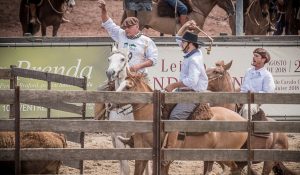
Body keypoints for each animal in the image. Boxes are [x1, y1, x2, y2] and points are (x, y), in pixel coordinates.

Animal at [94, 45, 150, 175]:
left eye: (122, 59)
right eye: (109, 59)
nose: (110, 72)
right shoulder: (118, 136)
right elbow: (125, 166)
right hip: (114, 138)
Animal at [116, 74, 247, 175]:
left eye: (128, 86)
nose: (112, 103)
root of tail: (243, 120)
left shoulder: (164, 161)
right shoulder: (141, 156)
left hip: (225, 155)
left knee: (234, 169)